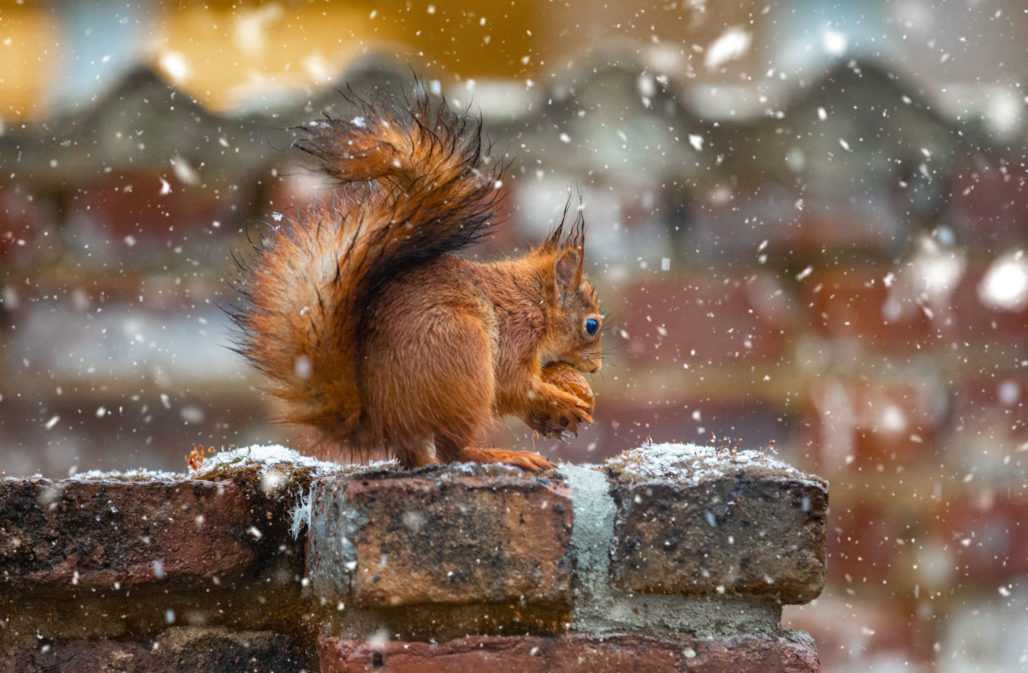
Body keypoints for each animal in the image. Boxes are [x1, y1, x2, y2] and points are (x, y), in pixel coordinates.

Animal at [231, 88, 600, 468]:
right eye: (592, 326)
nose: (596, 368)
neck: (535, 301)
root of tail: (384, 425)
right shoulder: (517, 333)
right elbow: (513, 385)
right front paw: (562, 402)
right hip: (463, 355)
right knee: (456, 449)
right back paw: (503, 454)